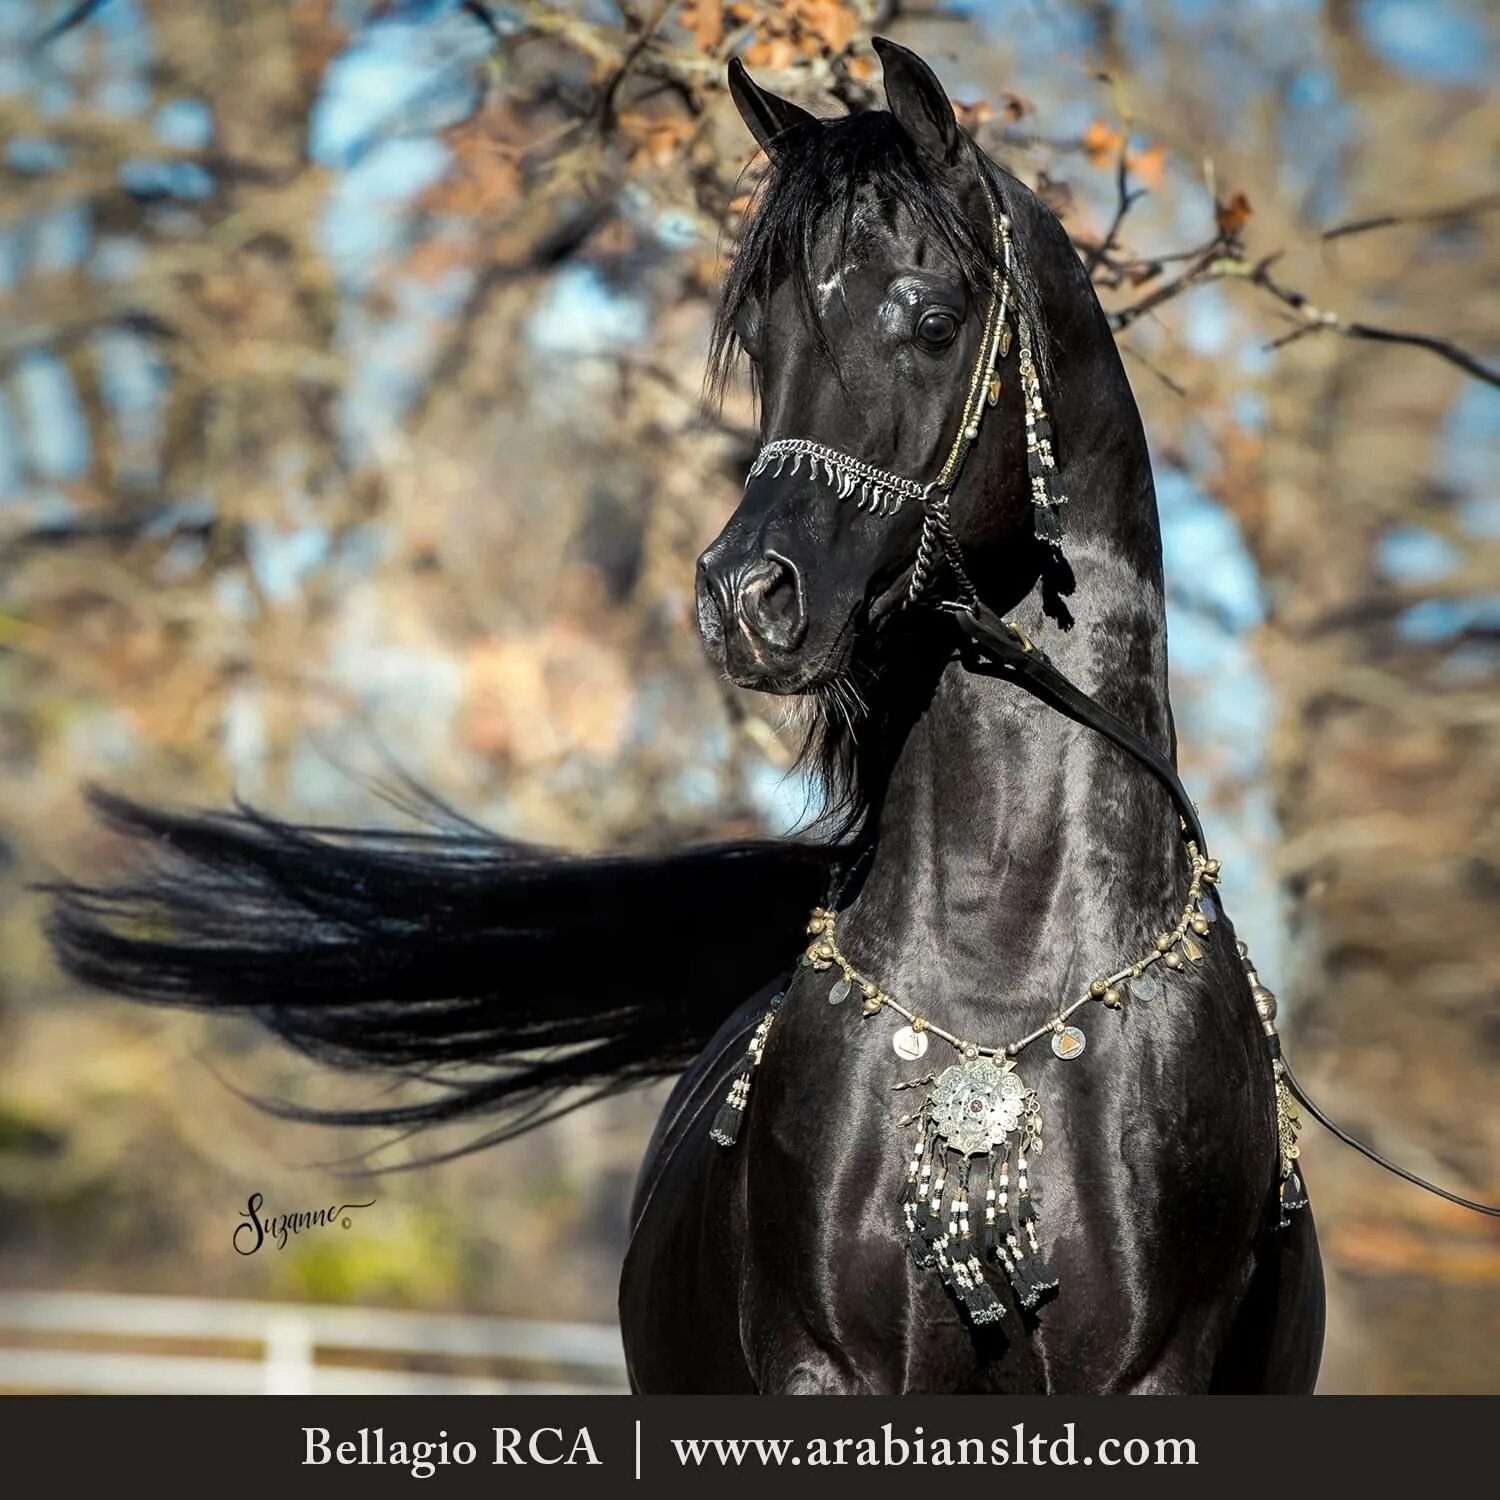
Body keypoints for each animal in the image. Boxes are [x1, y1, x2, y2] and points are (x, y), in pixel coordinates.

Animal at [49, 38, 1326, 1392]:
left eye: (933, 320)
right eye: (762, 340)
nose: (744, 600)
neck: (1003, 985)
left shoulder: (1145, 1373)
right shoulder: (827, 1367)